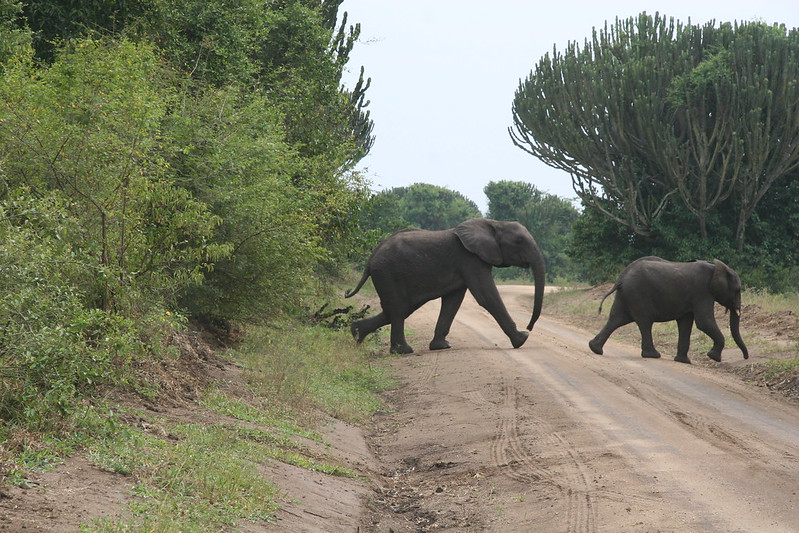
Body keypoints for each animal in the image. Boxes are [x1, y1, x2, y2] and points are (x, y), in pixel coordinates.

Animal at [346, 216, 548, 354]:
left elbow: (453, 302)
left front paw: (441, 347)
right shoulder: (470, 259)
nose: (529, 327)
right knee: (398, 309)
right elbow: (486, 296)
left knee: (398, 309)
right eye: (519, 241)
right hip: (388, 274)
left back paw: (356, 333)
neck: (494, 223)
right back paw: (403, 351)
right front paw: (522, 339)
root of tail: (371, 258)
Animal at [588, 256, 752, 364]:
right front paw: (714, 357)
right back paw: (653, 355)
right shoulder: (702, 292)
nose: (745, 357)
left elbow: (686, 323)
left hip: (626, 294)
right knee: (644, 322)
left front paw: (683, 361)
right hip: (638, 294)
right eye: (737, 290)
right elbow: (703, 322)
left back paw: (595, 349)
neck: (715, 267)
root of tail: (621, 276)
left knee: (616, 319)